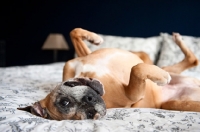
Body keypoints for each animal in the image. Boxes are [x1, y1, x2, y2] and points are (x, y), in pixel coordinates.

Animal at [17, 28, 200, 120]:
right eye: (89, 116)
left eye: (65, 102)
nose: (90, 103)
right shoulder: (132, 94)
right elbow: (137, 69)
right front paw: (161, 77)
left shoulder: (83, 57)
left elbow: (74, 32)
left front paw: (94, 38)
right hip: (176, 104)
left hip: (168, 67)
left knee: (192, 60)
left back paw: (177, 40)